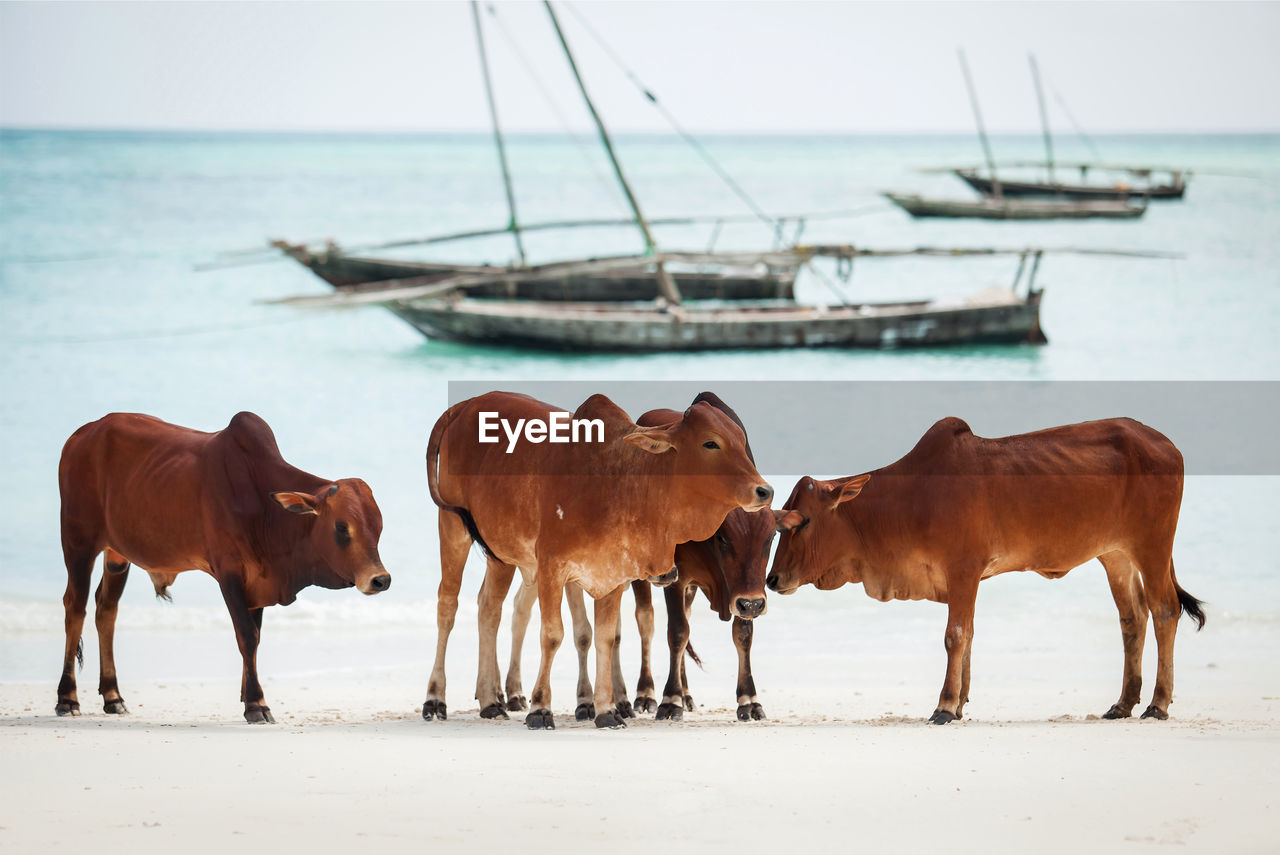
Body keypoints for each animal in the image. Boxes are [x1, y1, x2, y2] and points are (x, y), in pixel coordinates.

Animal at [58, 412, 389, 721]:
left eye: (378, 525)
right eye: (342, 527)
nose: (380, 579)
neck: (263, 507)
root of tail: (81, 434)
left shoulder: (259, 581)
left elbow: (255, 637)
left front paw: (246, 696)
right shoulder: (229, 573)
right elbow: (247, 635)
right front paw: (256, 703)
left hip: (117, 555)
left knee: (106, 610)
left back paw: (113, 697)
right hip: (78, 543)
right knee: (75, 609)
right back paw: (67, 699)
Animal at [422, 391, 768, 727]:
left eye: (740, 439)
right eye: (710, 442)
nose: (765, 491)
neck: (620, 483)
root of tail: (466, 405)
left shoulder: (612, 576)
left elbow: (605, 638)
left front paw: (606, 710)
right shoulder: (553, 569)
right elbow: (553, 636)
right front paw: (541, 709)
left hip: (501, 555)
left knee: (489, 609)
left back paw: (491, 700)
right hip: (453, 527)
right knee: (447, 606)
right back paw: (436, 698)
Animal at [768, 417, 1198, 727]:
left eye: (802, 522)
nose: (771, 580)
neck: (908, 501)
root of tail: (1169, 444)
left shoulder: (963, 569)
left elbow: (955, 635)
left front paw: (944, 707)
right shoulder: (968, 578)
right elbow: (969, 635)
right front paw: (959, 705)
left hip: (1152, 546)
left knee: (1164, 609)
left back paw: (1157, 704)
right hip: (1115, 556)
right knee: (1132, 618)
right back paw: (1123, 703)